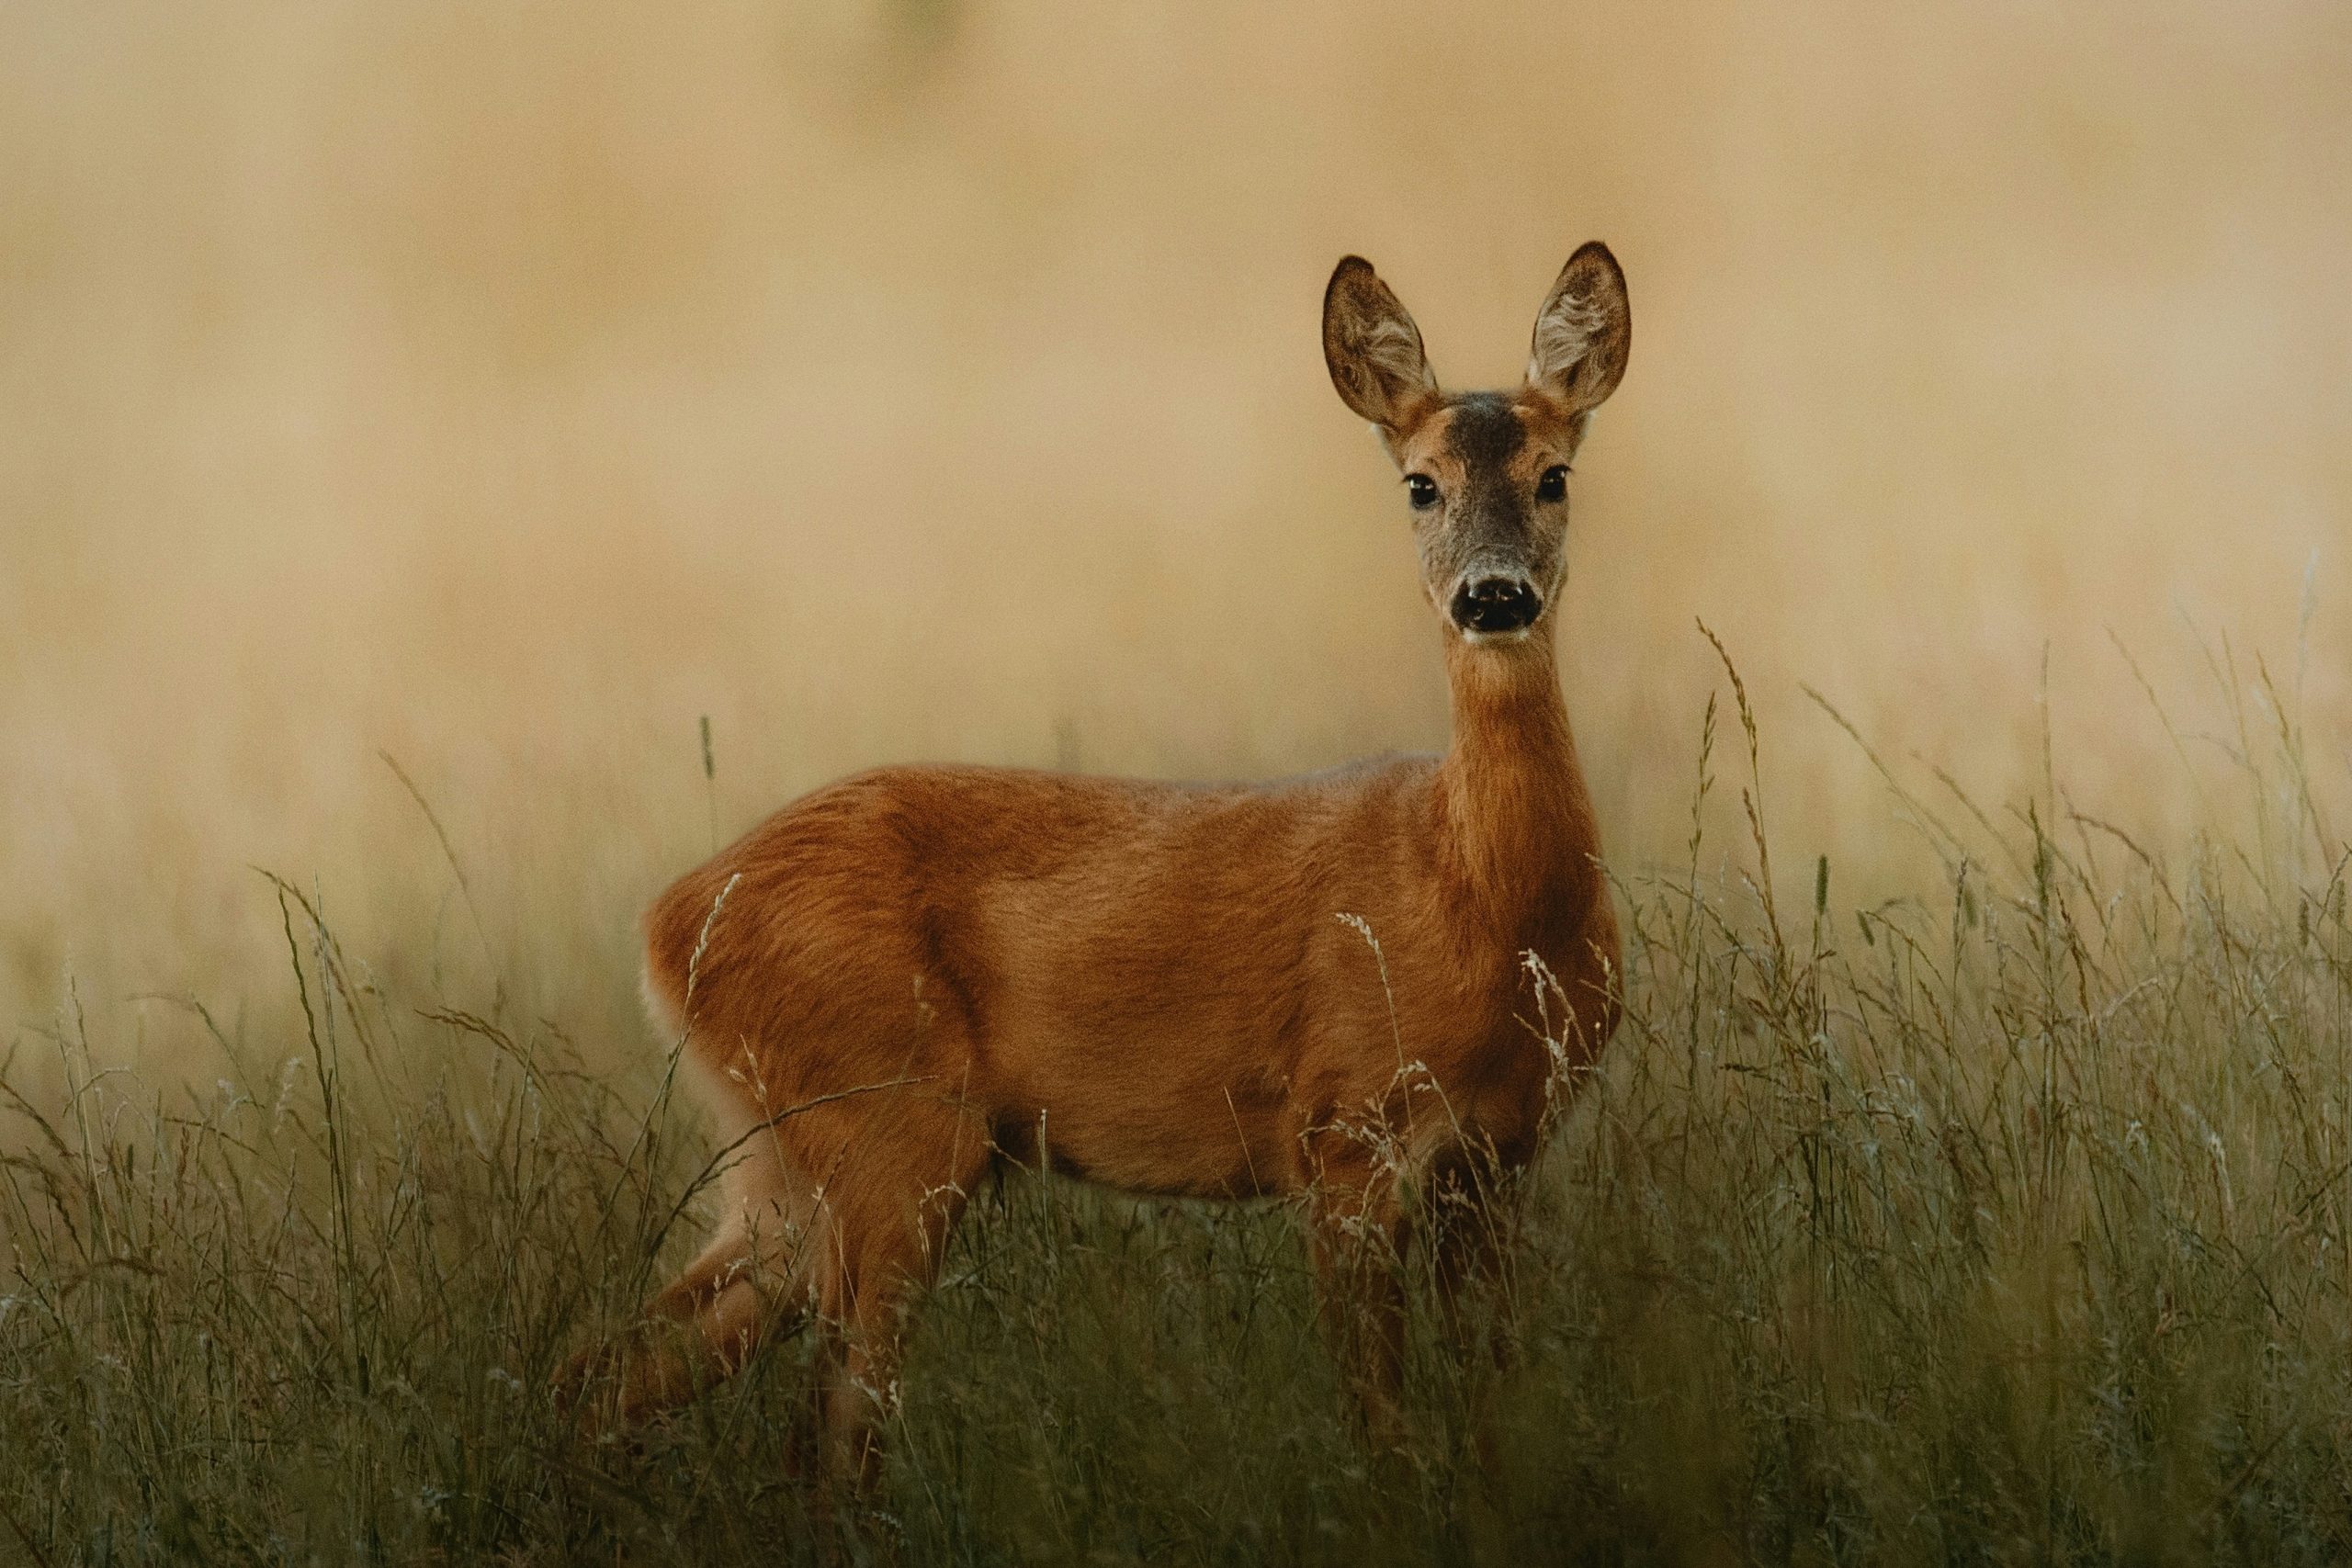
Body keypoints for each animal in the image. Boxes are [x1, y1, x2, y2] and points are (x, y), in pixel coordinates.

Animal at [567, 241, 1631, 1489]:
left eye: (1555, 474)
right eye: (1420, 484)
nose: (1494, 592)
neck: (1484, 906)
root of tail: (666, 921)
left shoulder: (1502, 1151)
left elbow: (1491, 1404)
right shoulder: (1342, 1126)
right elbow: (1379, 1421)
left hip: (782, 1153)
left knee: (614, 1365)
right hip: (889, 1120)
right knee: (828, 1429)